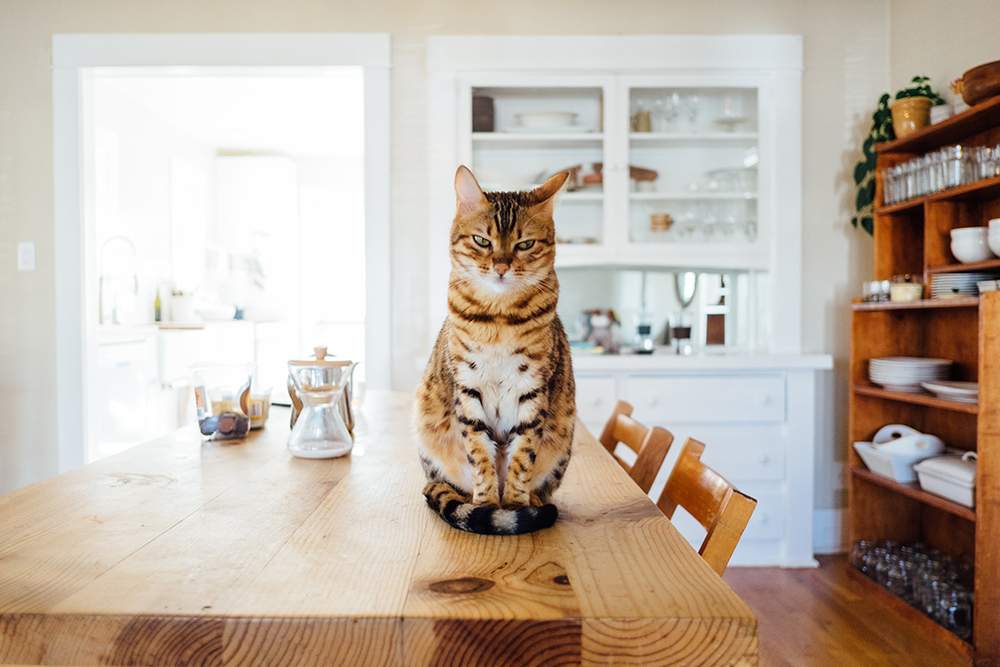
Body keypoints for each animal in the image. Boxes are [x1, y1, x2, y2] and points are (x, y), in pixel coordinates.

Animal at [416, 167, 580, 536]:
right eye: (482, 241)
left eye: (525, 244)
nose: (501, 266)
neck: (499, 319)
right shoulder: (467, 387)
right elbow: (479, 455)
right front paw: (488, 505)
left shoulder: (533, 390)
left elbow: (523, 457)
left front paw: (516, 505)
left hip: (563, 439)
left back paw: (534, 502)